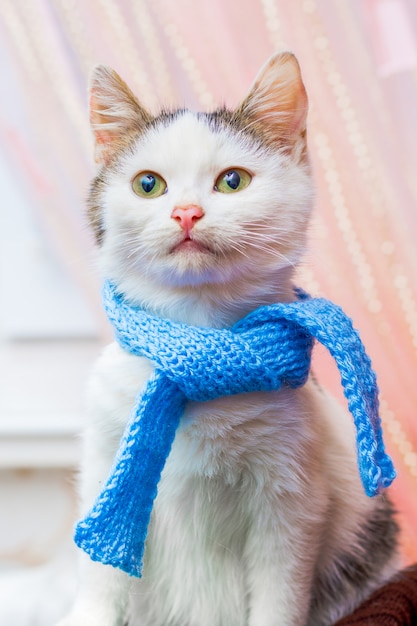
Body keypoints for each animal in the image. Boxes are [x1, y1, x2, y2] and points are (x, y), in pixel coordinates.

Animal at [55, 53, 396, 624]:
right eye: (148, 185)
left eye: (232, 181)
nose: (186, 213)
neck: (197, 335)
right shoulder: (105, 462)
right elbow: (101, 578)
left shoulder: (292, 496)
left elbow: (278, 593)